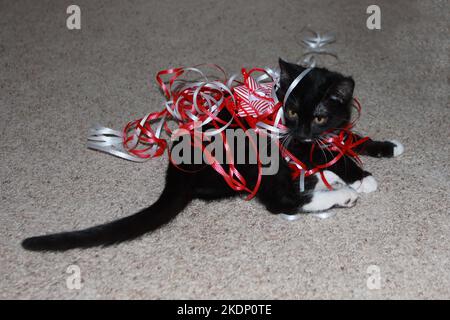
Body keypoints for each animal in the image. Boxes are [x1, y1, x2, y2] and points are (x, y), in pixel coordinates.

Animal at [22, 58, 404, 251]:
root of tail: (176, 169)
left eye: (321, 116)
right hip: (251, 154)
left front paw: (385, 146)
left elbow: (348, 138)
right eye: (293, 112)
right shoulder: (291, 143)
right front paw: (361, 176)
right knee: (281, 200)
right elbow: (330, 155)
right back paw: (342, 193)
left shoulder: (327, 133)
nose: (301, 130)